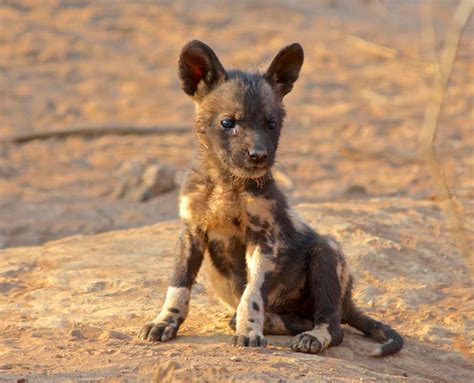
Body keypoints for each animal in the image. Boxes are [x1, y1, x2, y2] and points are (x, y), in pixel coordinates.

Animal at [138, 39, 404, 356]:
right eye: (228, 123)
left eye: (272, 124)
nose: (258, 155)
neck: (227, 184)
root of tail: (348, 302)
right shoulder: (191, 233)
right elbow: (178, 287)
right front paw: (165, 322)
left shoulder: (263, 240)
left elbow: (251, 296)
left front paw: (249, 331)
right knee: (300, 319)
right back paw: (273, 322)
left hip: (326, 252)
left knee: (333, 324)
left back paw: (311, 336)